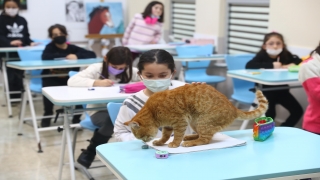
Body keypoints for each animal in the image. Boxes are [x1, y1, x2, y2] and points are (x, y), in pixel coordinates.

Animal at [124, 83, 268, 148]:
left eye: (140, 136)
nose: (143, 142)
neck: (152, 111)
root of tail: (233, 108)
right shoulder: (169, 126)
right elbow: (165, 136)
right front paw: (160, 142)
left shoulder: (179, 122)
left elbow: (177, 136)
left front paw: (174, 144)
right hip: (194, 122)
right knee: (200, 135)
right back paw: (189, 137)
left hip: (202, 121)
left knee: (205, 139)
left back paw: (189, 142)